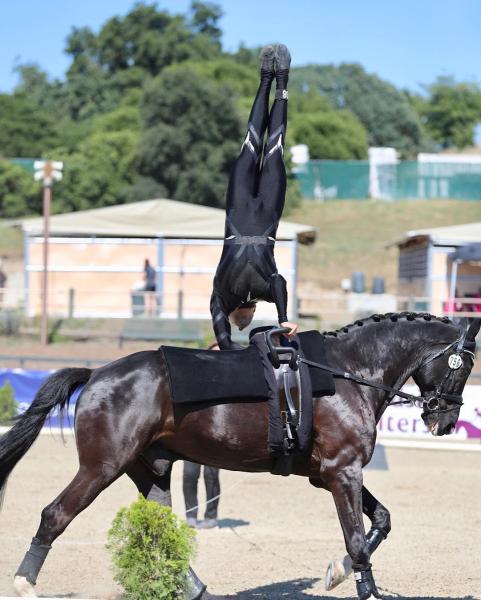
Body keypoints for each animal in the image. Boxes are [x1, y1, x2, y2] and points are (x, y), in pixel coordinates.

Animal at [0, 314, 478, 600]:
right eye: (464, 367)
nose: (445, 421)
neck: (348, 373)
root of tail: (97, 373)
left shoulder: (333, 473)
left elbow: (381, 520)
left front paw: (336, 572)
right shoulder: (343, 473)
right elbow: (358, 539)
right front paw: (363, 585)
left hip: (150, 472)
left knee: (163, 535)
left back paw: (198, 590)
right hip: (102, 467)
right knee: (55, 514)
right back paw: (24, 583)